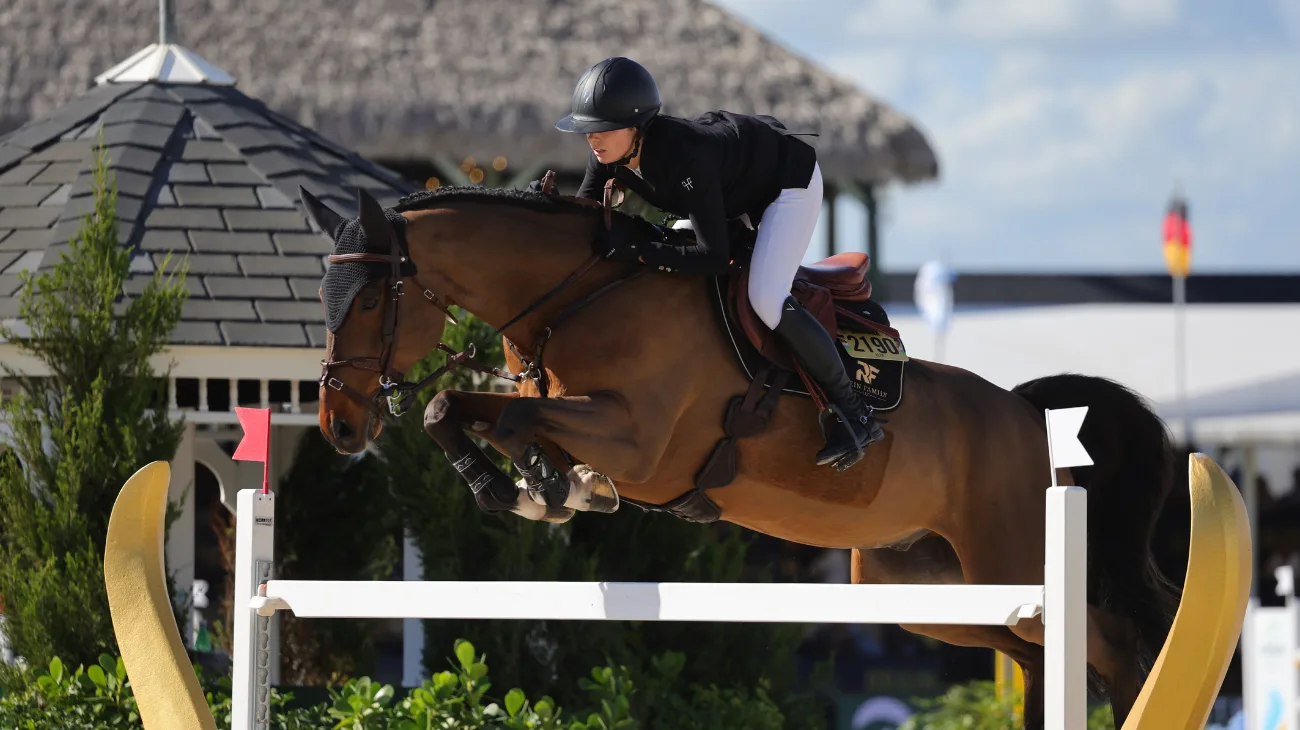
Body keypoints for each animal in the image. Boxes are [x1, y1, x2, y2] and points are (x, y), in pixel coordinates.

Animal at [305, 182, 1181, 729]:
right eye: (322, 298)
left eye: (374, 298)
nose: (338, 426)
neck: (581, 296)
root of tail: (1026, 410)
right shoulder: (569, 411)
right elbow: (466, 411)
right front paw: (537, 486)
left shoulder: (639, 439)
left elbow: (490, 412)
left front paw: (538, 484)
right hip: (928, 591)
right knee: (1042, 655)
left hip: (1011, 560)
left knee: (1110, 647)